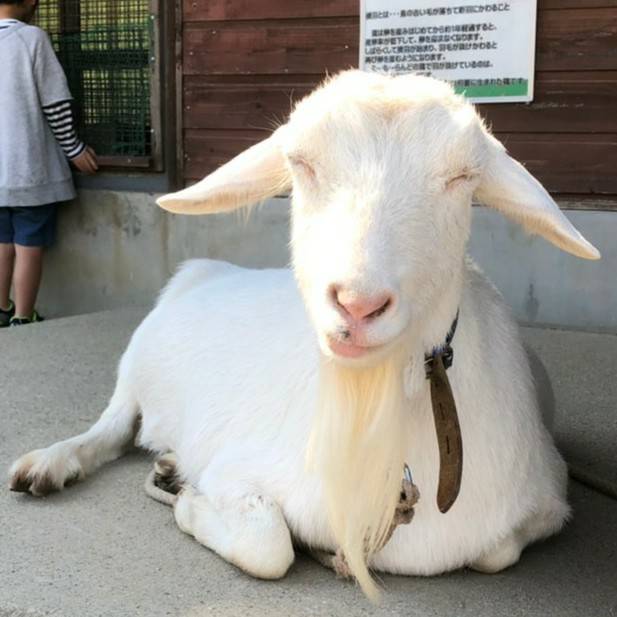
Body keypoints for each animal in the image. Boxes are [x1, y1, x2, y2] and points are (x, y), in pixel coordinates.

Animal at [8, 71, 596, 596]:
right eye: (301, 164)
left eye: (461, 178)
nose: (358, 304)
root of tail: (207, 270)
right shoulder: (235, 465)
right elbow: (269, 546)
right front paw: (187, 499)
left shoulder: (546, 494)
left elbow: (499, 552)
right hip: (135, 368)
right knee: (109, 427)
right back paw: (49, 466)